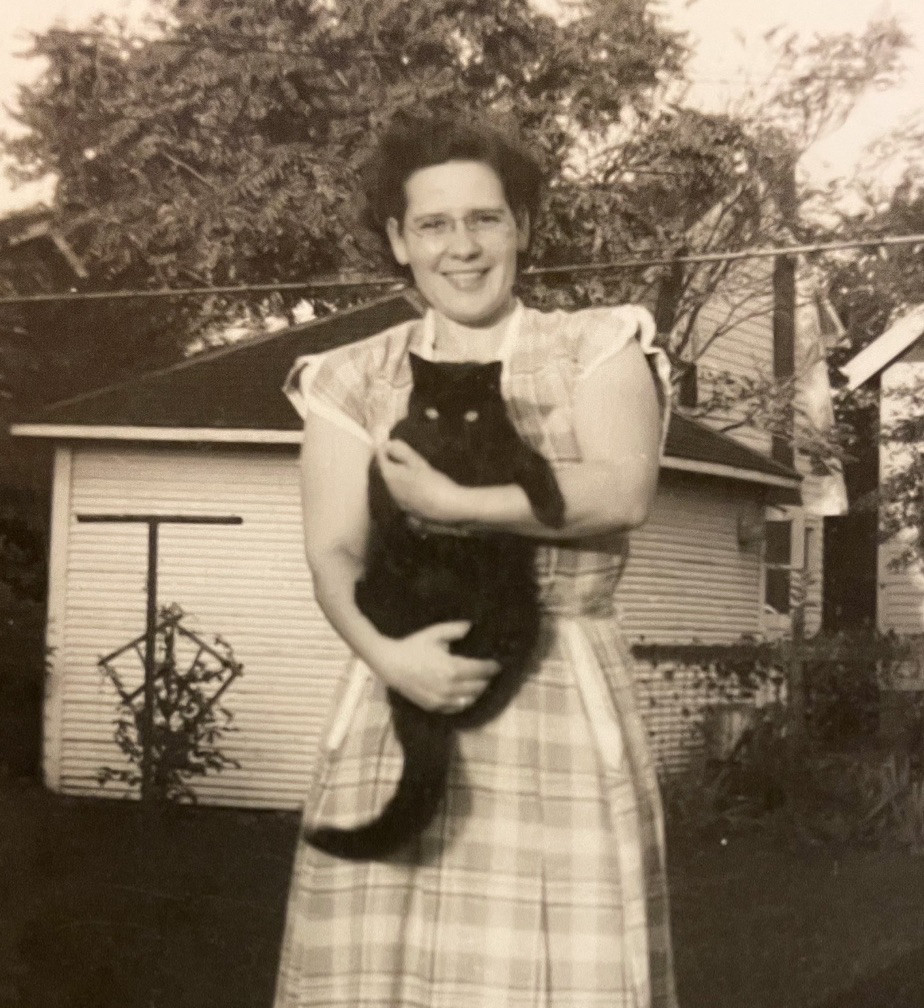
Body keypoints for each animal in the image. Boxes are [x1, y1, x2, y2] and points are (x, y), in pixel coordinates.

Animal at [304, 352, 564, 858]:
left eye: (471, 416)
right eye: (430, 414)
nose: (447, 434)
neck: (455, 470)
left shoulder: (507, 449)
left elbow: (531, 461)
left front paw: (552, 508)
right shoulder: (388, 456)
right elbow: (383, 501)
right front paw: (407, 538)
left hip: (523, 614)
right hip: (386, 595)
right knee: (378, 613)